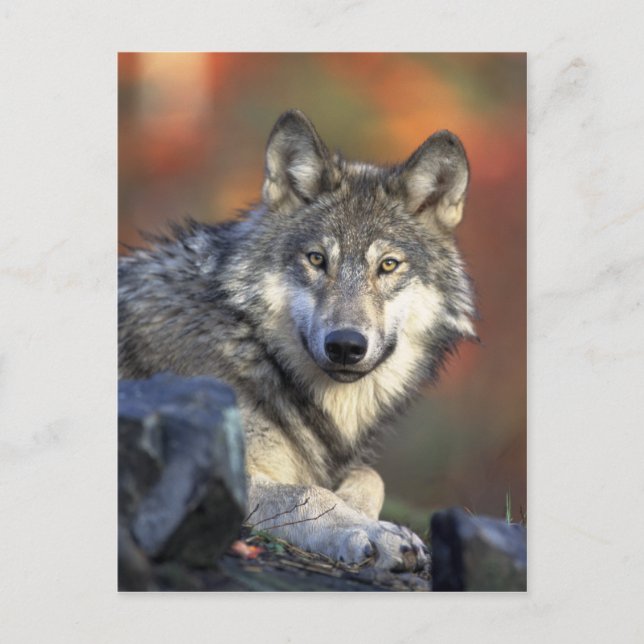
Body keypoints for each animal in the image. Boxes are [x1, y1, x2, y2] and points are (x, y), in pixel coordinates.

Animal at [119, 109, 476, 572]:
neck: (253, 346)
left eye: (388, 265)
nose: (345, 345)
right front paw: (374, 533)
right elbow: (309, 492)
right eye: (317, 259)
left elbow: (370, 476)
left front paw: (364, 515)